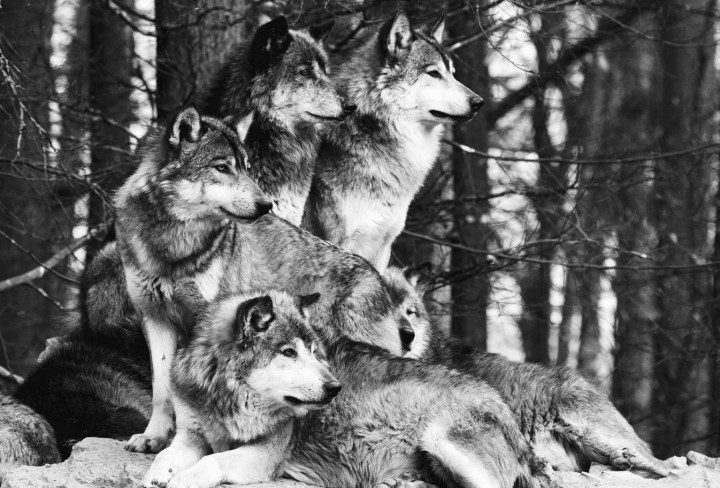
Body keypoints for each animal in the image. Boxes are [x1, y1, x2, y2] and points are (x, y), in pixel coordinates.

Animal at [112, 105, 412, 453]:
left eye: (246, 168)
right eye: (222, 168)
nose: (266, 204)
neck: (174, 248)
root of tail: (378, 279)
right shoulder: (155, 319)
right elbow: (161, 390)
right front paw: (154, 437)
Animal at [142, 291, 542, 488]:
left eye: (315, 352)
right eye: (289, 353)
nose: (335, 387)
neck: (227, 398)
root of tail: (510, 416)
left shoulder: (265, 455)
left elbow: (214, 460)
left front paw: (183, 479)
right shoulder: (191, 434)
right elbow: (167, 456)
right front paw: (159, 474)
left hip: (441, 439)